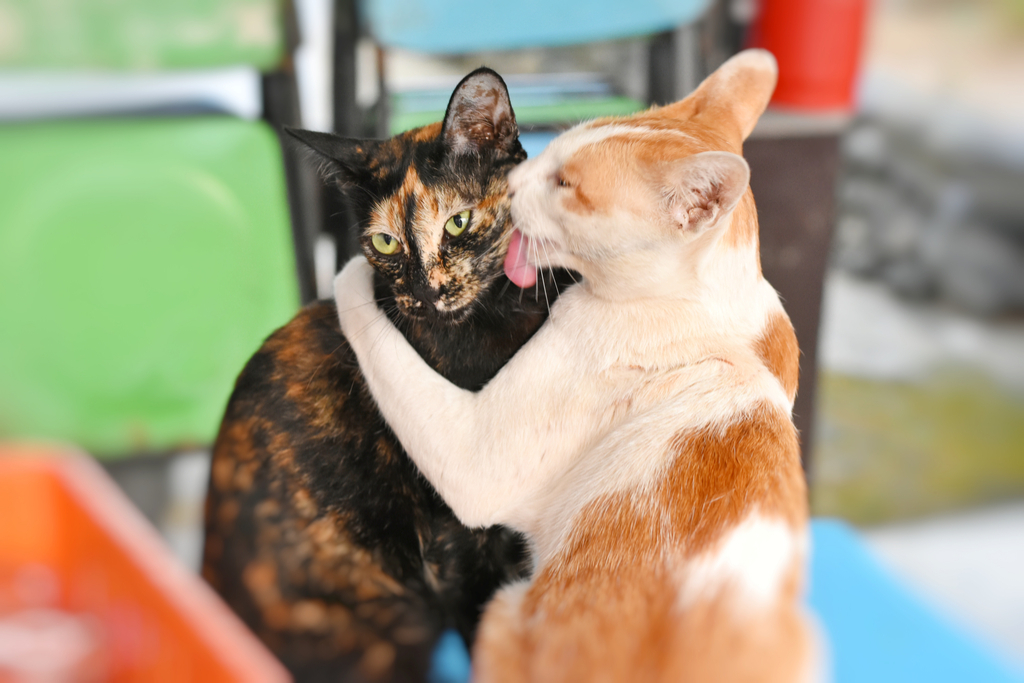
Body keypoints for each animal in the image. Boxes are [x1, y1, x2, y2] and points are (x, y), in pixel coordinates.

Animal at [335, 50, 815, 679]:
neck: (710, 304)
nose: (508, 182)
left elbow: (367, 321)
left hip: (505, 607)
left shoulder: (474, 461)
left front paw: (347, 275)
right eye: (550, 152)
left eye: (564, 185)